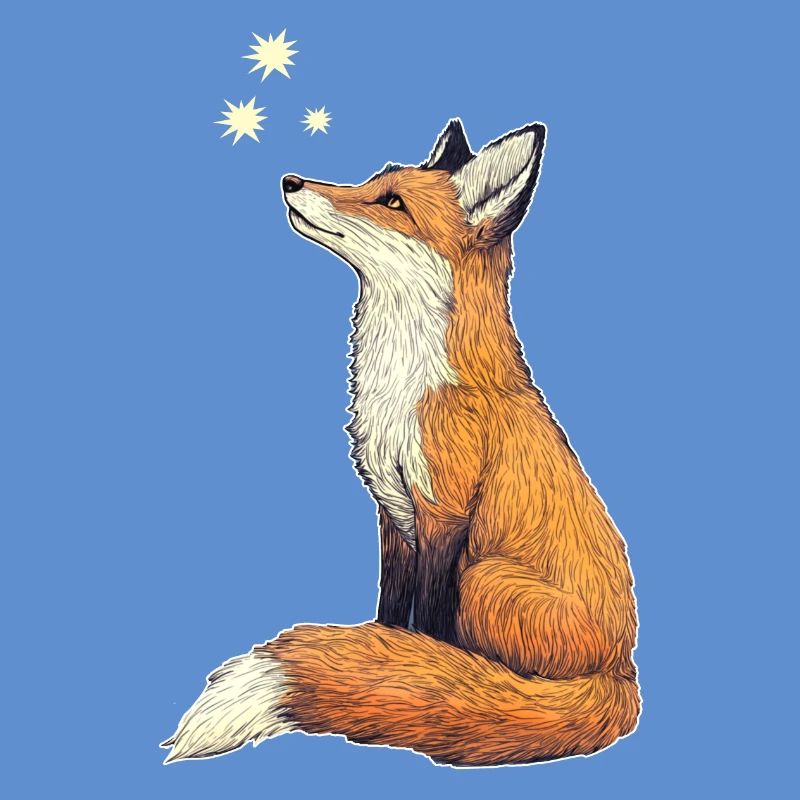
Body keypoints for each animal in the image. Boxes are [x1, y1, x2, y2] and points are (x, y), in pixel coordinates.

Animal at [162, 119, 640, 767]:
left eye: (393, 204)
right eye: (371, 181)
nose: (291, 180)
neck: (405, 386)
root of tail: (623, 673)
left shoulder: (443, 510)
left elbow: (429, 625)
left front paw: (432, 671)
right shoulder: (392, 510)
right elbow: (392, 613)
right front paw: (390, 657)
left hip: (485, 579)